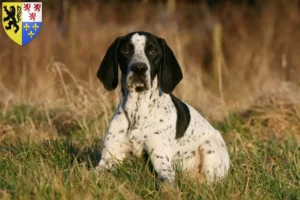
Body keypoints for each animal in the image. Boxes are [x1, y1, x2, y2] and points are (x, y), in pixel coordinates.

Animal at [96, 31, 230, 188]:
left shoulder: (160, 159)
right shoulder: (108, 158)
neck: (137, 111)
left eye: (153, 51)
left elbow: (166, 182)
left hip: (209, 148)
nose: (139, 68)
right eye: (126, 50)